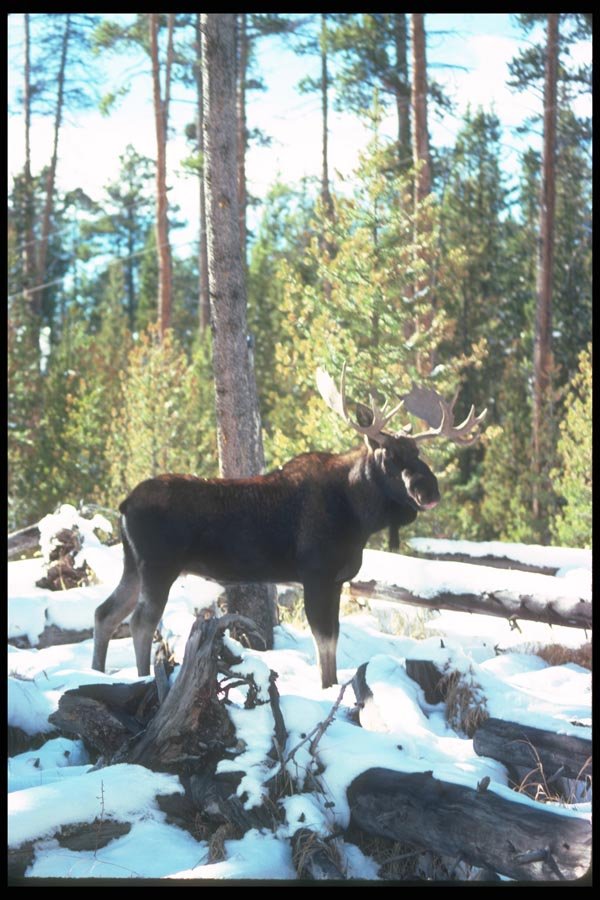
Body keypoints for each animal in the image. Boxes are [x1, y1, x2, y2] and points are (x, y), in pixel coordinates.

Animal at [92, 365, 486, 688]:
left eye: (419, 455)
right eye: (389, 456)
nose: (428, 491)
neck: (360, 515)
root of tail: (124, 504)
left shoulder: (336, 580)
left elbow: (332, 637)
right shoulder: (316, 574)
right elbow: (323, 639)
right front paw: (327, 688)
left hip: (134, 566)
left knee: (105, 613)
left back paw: (96, 672)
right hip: (159, 566)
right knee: (141, 621)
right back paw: (143, 678)